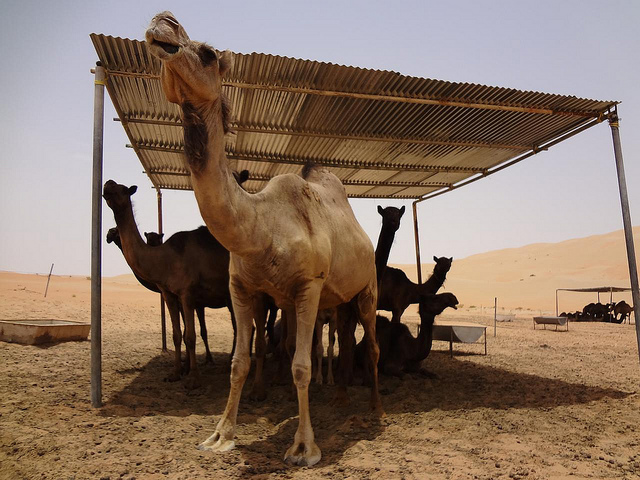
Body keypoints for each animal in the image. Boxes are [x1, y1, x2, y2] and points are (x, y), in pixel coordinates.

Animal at [148, 11, 382, 466]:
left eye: (207, 53)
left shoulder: (308, 286)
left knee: (372, 344)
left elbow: (301, 366)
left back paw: (377, 411)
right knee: (337, 340)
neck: (263, 230)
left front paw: (304, 448)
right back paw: (341, 400)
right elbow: (240, 360)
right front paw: (219, 436)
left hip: (367, 288)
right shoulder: (243, 288)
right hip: (327, 301)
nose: (163, 21)